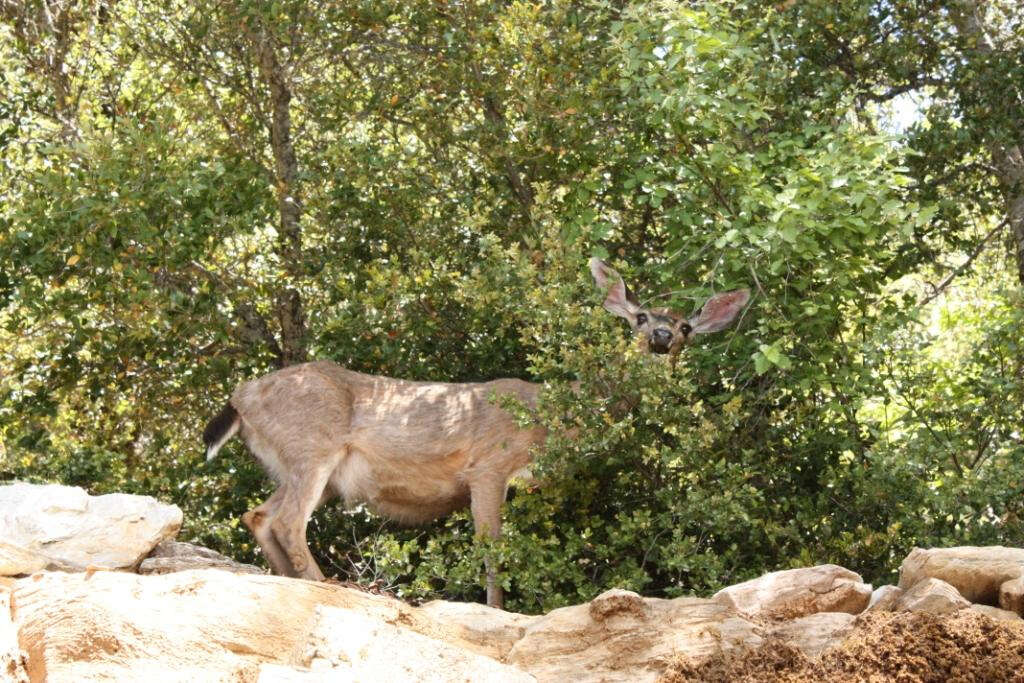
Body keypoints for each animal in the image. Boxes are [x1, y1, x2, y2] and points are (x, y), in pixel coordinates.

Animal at [199, 259, 749, 610]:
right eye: (639, 317)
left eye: (685, 328)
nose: (661, 337)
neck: (558, 415)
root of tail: (242, 397)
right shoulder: (489, 465)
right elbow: (493, 551)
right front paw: (500, 608)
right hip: (312, 444)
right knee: (289, 520)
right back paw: (329, 586)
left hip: (298, 462)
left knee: (259, 515)